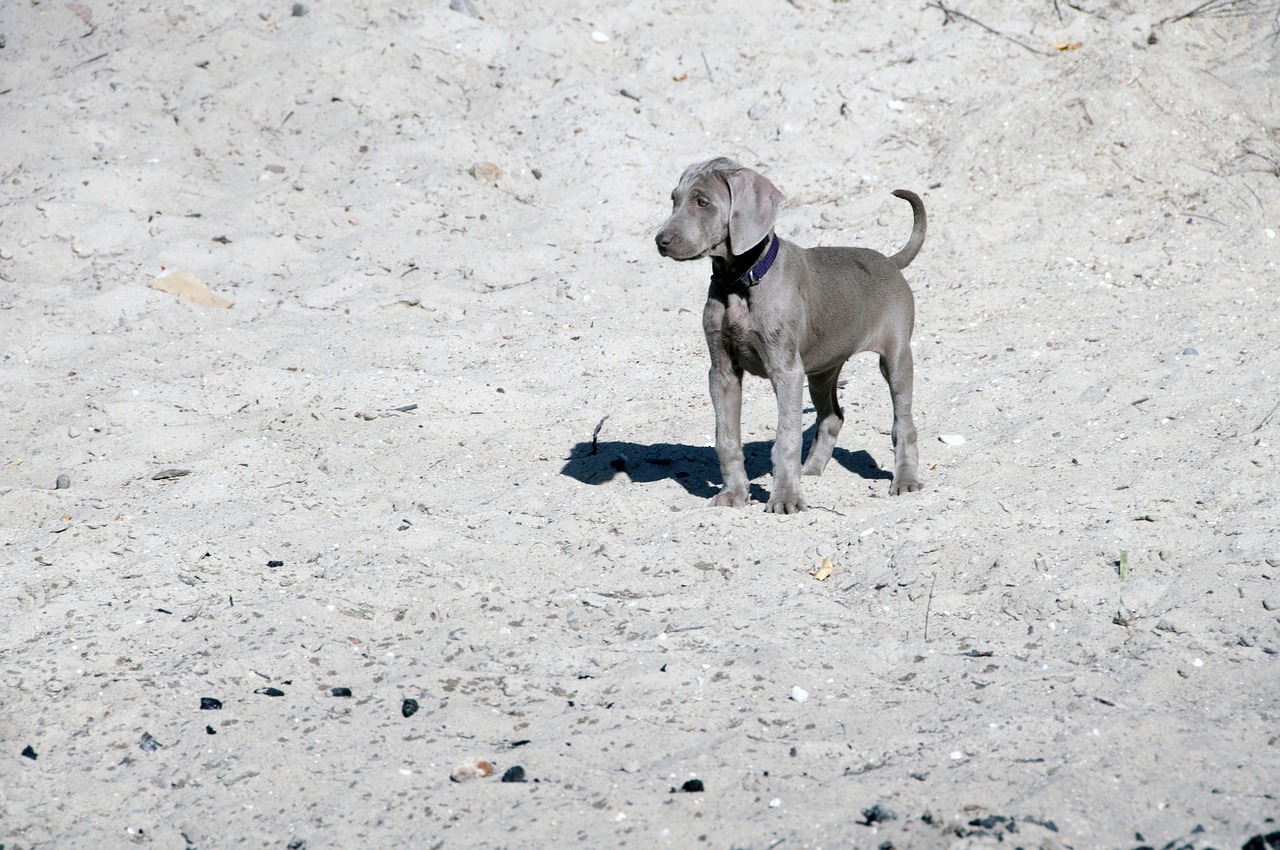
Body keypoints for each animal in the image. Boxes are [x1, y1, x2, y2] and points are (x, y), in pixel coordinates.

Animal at [654, 157, 925, 513]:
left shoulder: (785, 370)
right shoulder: (722, 372)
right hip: (822, 369)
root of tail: (890, 261)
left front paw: (785, 498)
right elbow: (726, 438)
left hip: (896, 356)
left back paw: (905, 480)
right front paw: (733, 493)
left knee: (903, 422)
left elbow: (785, 438)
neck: (740, 283)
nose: (661, 240)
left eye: (703, 202)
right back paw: (810, 470)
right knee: (832, 416)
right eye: (674, 199)